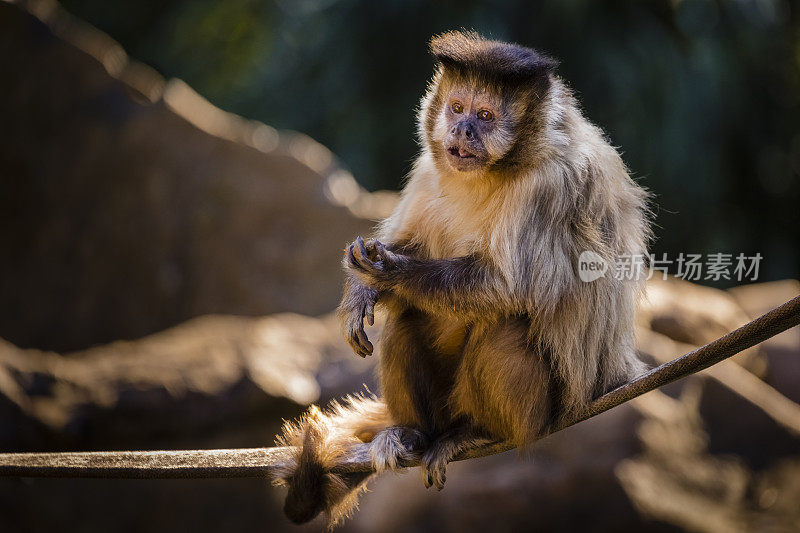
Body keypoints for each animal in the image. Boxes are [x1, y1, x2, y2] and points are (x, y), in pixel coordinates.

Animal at [274, 31, 648, 524]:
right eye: (457, 107)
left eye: (485, 116)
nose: (464, 130)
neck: (495, 170)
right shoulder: (430, 168)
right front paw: (363, 291)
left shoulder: (549, 184)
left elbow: (510, 289)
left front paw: (388, 272)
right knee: (409, 319)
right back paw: (413, 434)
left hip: (545, 409)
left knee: (504, 326)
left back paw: (478, 433)